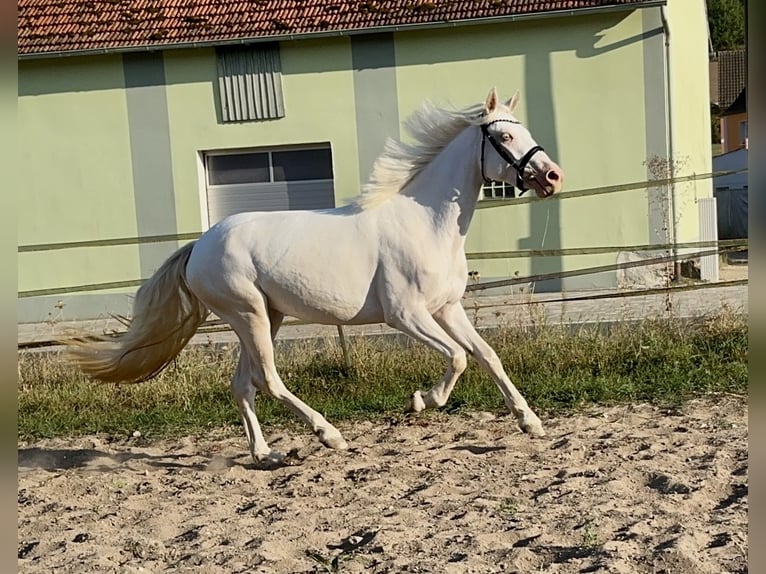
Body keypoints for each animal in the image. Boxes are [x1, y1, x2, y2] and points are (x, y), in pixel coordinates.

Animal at [70, 90, 564, 468]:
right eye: (504, 136)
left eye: (525, 131)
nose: (553, 176)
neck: (426, 223)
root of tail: (199, 247)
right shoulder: (406, 315)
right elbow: (459, 358)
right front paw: (422, 400)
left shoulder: (447, 308)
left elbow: (487, 355)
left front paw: (531, 422)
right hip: (249, 315)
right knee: (268, 380)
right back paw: (330, 435)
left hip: (265, 319)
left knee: (242, 384)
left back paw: (265, 454)